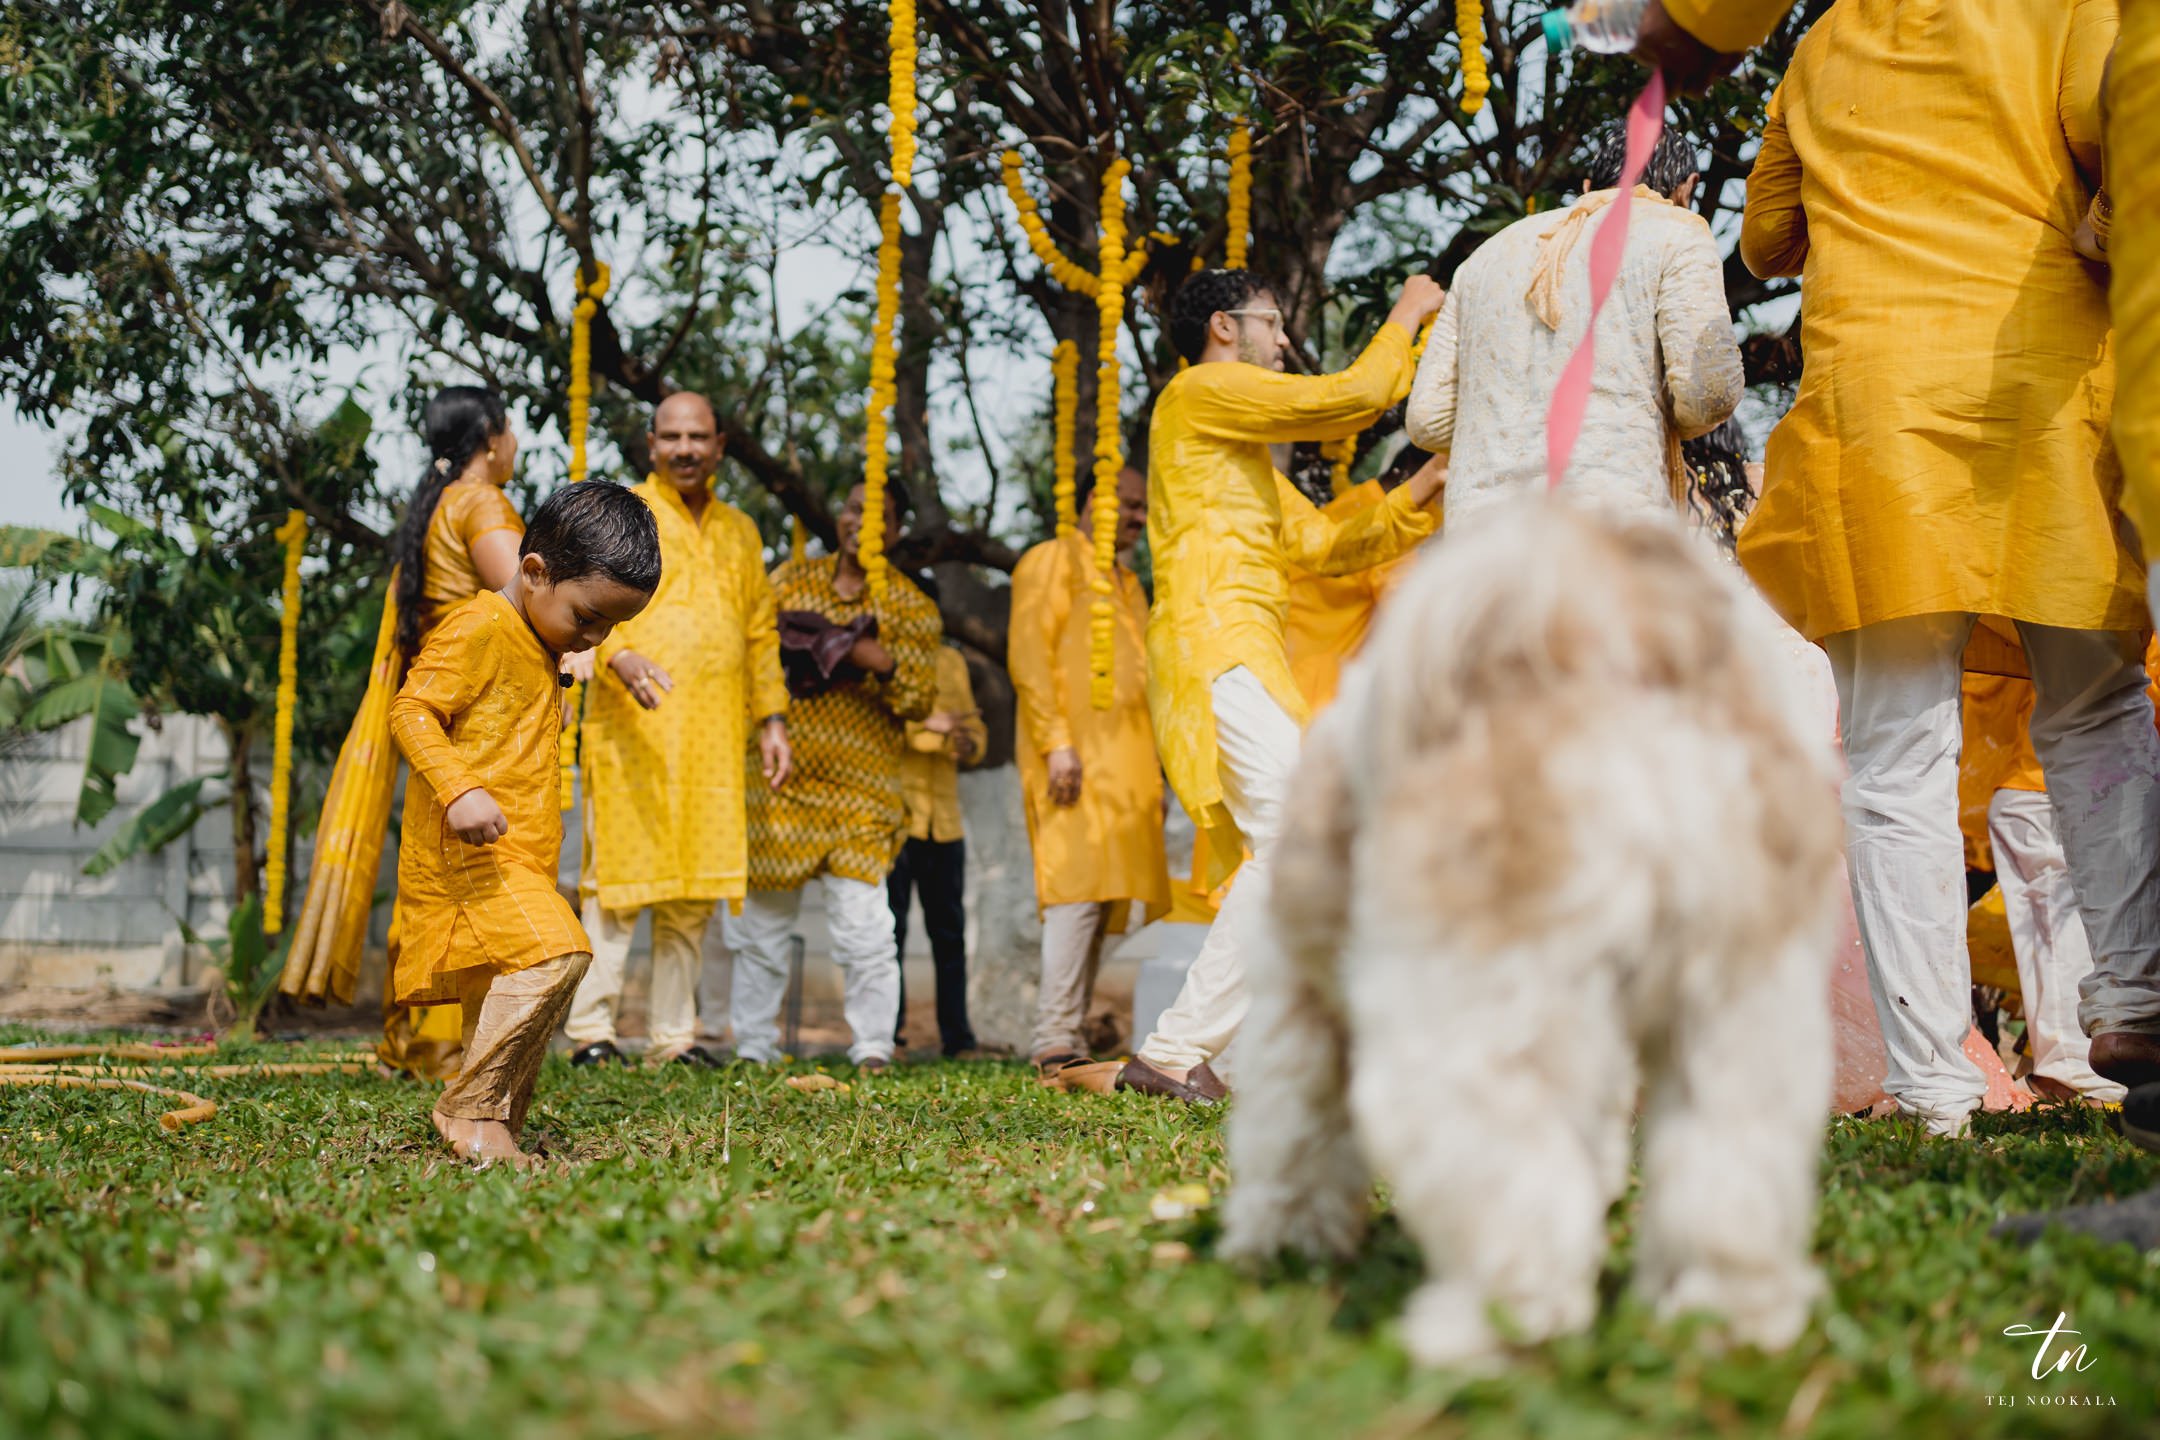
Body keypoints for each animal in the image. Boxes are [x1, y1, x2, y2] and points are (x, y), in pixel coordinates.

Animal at [1226, 500, 1848, 1373]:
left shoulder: (1297, 1009)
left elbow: (1290, 1135)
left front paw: (1278, 1239)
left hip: (1469, 1015)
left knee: (1513, 1190)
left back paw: (1485, 1330)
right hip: (1739, 1009)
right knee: (1729, 1170)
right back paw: (1726, 1317)